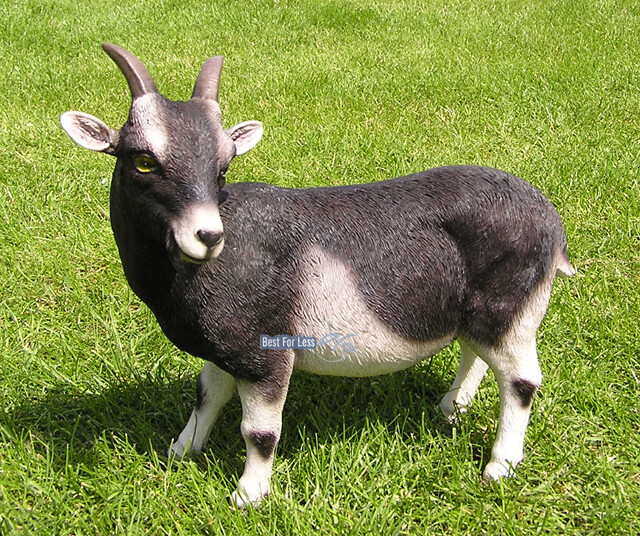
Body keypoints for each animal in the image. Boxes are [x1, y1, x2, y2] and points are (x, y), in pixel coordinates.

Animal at [60, 44, 575, 508]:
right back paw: (450, 410)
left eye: (222, 167)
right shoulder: (227, 347)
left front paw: (249, 495)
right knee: (475, 352)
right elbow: (207, 395)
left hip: (509, 311)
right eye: (143, 160)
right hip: (477, 313)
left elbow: (260, 431)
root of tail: (551, 223)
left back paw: (499, 466)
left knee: (521, 380)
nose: (207, 236)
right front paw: (181, 450)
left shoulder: (265, 353)